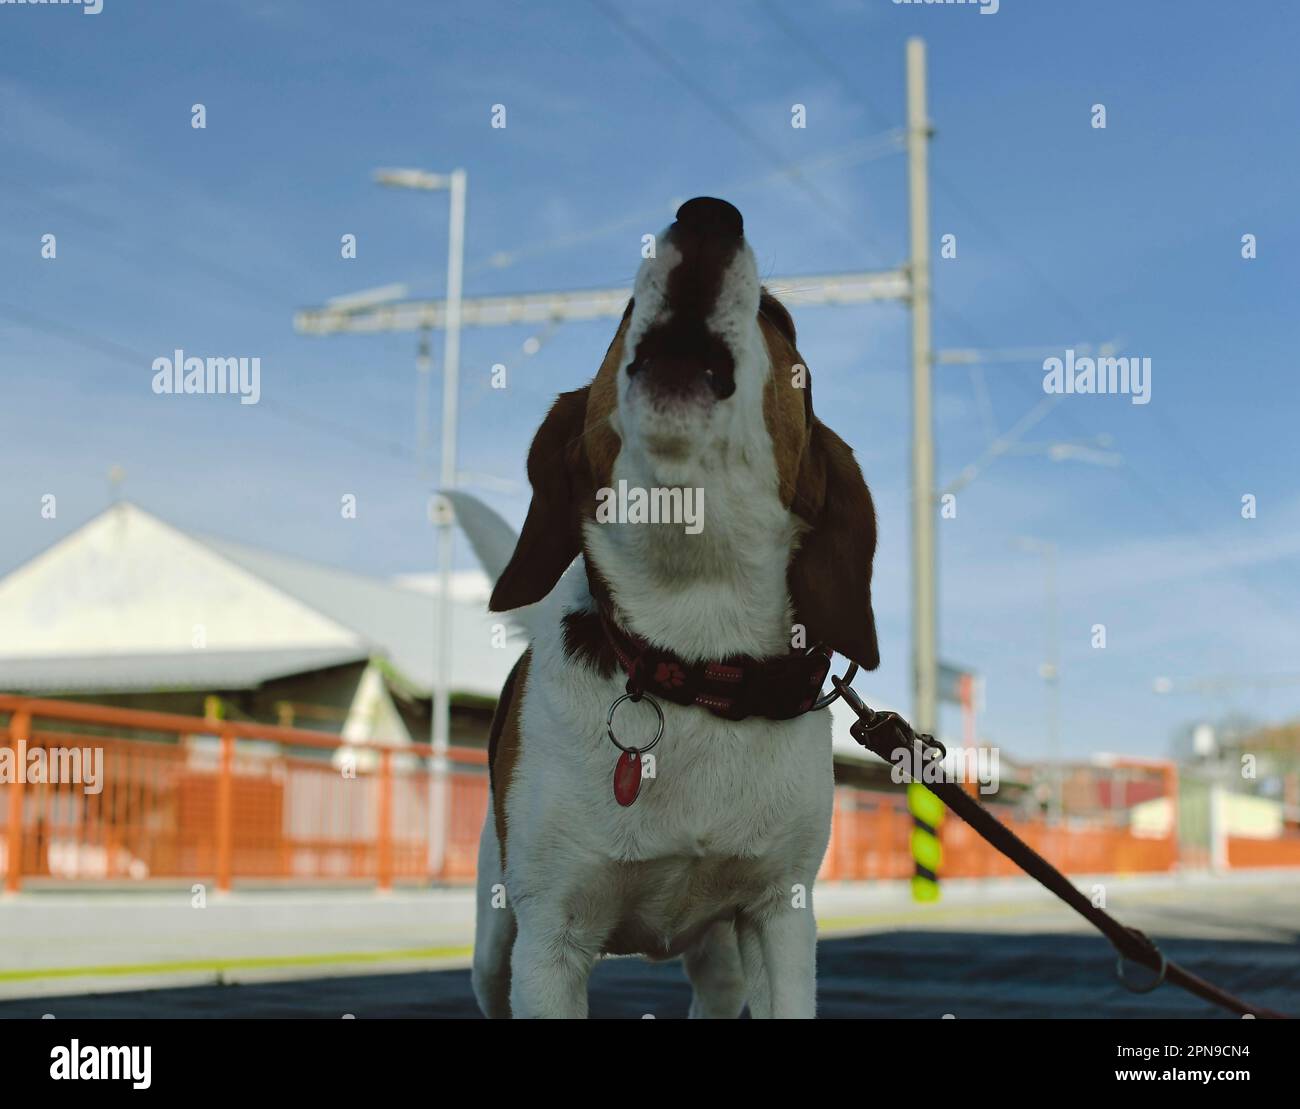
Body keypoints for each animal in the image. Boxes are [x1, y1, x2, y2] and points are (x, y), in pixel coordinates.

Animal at [452, 196, 878, 1014]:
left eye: (779, 315)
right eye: (625, 309)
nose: (708, 213)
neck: (694, 654)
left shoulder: (780, 914)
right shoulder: (549, 942)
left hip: (726, 957)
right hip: (494, 945)